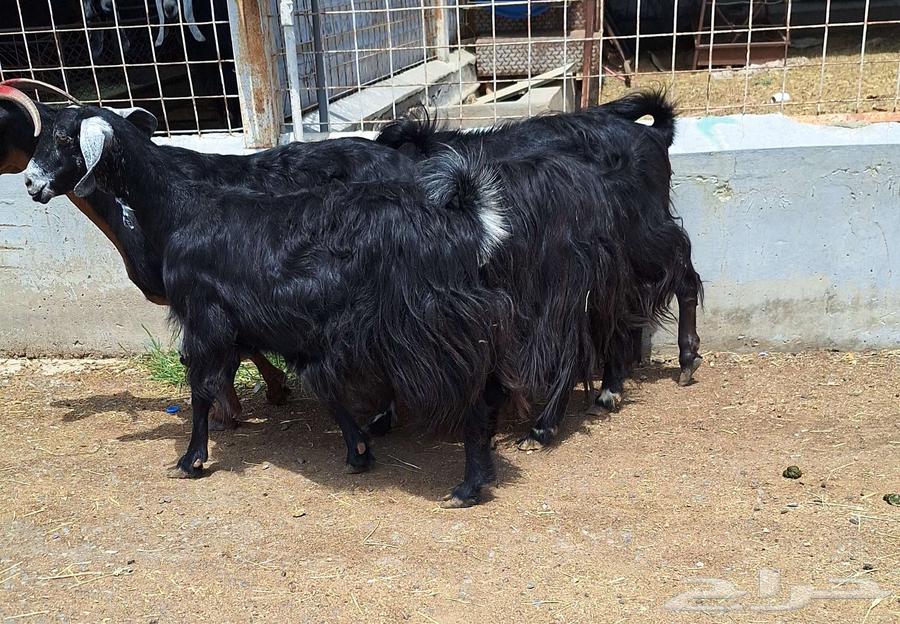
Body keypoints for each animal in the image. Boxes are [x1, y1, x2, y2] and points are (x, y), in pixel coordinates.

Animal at [22, 103, 515, 507]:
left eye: (64, 138)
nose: (29, 182)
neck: (181, 208)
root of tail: (466, 219)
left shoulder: (205, 316)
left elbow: (201, 385)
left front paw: (191, 459)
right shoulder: (289, 325)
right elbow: (322, 386)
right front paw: (357, 451)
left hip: (428, 330)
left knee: (473, 394)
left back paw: (468, 486)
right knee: (488, 386)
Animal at [377, 91, 703, 448]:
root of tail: (652, 133)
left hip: (642, 238)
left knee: (683, 276)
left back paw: (684, 360)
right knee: (620, 312)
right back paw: (609, 390)